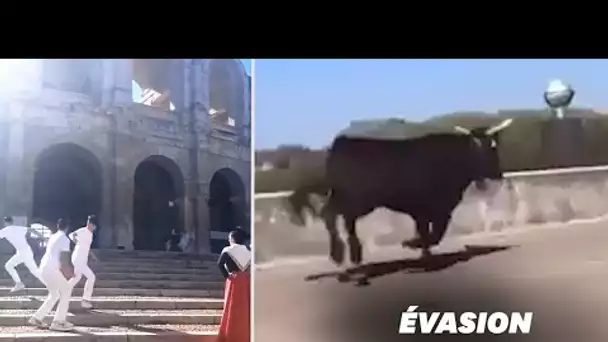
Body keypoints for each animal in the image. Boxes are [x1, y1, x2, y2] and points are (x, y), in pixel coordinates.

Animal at [284, 119, 512, 266]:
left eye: (494, 146)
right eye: (485, 149)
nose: (498, 174)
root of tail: (340, 143)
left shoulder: (431, 209)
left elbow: (430, 232)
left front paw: (422, 250)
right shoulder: (434, 207)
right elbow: (434, 233)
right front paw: (413, 244)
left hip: (350, 199)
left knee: (343, 220)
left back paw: (354, 255)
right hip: (355, 199)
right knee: (331, 215)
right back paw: (340, 255)